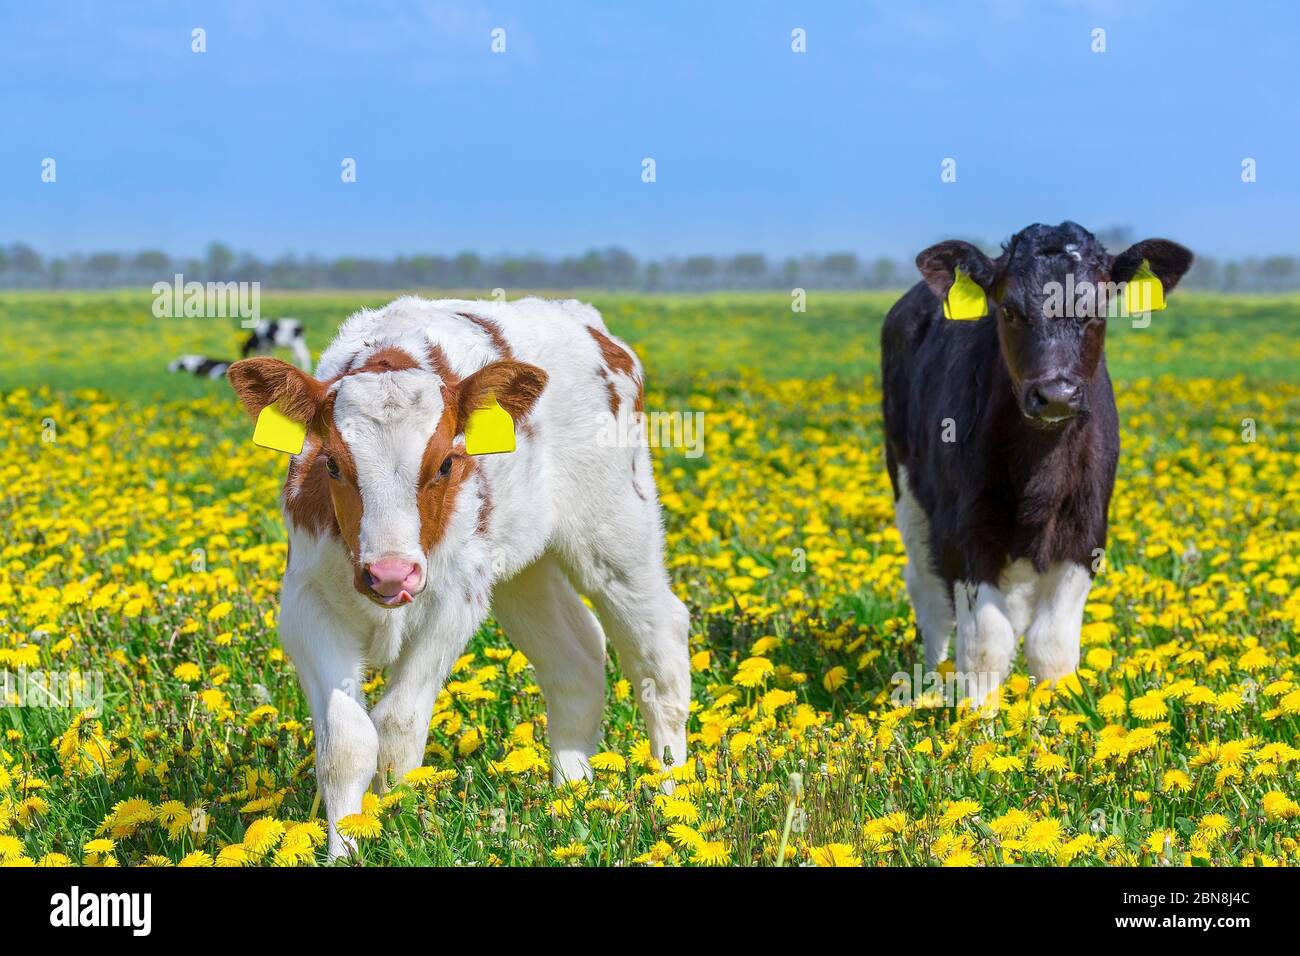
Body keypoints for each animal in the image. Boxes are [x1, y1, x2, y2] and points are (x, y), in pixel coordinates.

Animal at [169, 317, 310, 377]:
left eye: (242, 349)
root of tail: (300, 325)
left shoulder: (263, 344)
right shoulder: (265, 345)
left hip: (297, 343)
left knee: (304, 355)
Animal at [226, 295, 691, 858]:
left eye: (447, 462)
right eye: (332, 464)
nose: (390, 574)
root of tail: (581, 317)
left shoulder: (453, 600)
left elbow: (397, 729)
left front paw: (398, 829)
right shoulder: (307, 603)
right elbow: (347, 741)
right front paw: (346, 848)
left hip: (617, 530)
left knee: (659, 652)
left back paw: (672, 793)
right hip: (522, 567)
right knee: (576, 656)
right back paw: (570, 795)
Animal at [878, 223, 1190, 702]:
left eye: (1098, 311)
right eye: (1008, 310)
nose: (1056, 395)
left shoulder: (1086, 531)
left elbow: (1052, 645)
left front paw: (1062, 714)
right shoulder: (964, 530)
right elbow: (986, 646)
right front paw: (976, 720)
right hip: (907, 488)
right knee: (927, 592)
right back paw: (931, 679)